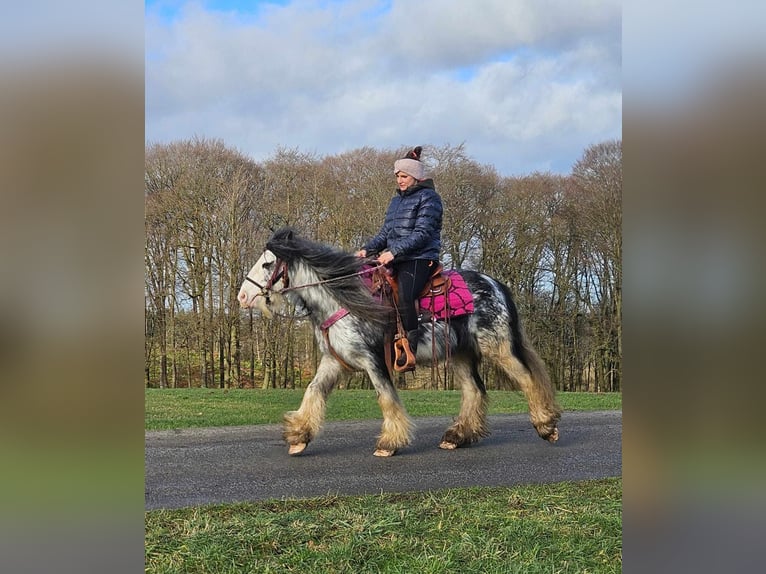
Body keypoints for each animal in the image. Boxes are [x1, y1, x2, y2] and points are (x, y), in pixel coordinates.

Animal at [237, 230, 560, 460]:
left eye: (267, 263)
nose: (242, 296)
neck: (342, 301)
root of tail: (495, 284)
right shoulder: (333, 361)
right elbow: (313, 391)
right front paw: (298, 436)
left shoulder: (373, 360)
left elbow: (386, 398)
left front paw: (390, 442)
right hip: (460, 354)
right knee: (474, 391)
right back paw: (457, 436)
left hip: (498, 347)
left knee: (527, 379)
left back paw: (546, 425)